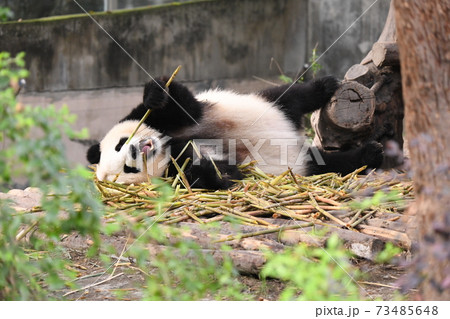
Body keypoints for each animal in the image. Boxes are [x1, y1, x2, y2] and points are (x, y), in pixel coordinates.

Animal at [86, 75, 382, 190]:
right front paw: (208, 167)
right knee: (330, 164)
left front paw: (156, 94)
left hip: (268, 104)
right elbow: (223, 176)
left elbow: (184, 106)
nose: (135, 149)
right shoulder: (174, 172)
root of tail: (295, 144)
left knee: (291, 97)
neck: (169, 144)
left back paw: (325, 86)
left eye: (120, 144)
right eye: (129, 169)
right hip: (303, 166)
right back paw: (371, 154)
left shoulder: (165, 119)